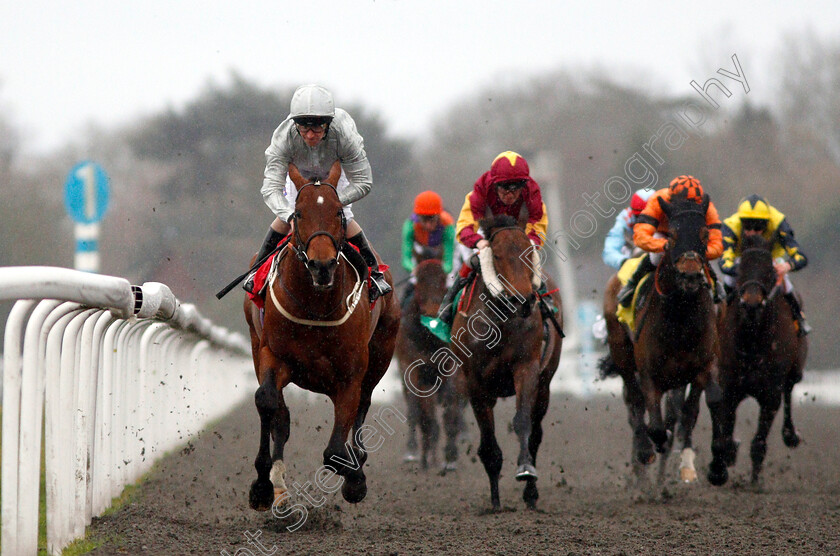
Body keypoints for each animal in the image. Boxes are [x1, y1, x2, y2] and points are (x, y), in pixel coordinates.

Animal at [243, 175, 400, 512]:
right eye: (299, 214)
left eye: (339, 213)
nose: (322, 265)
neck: (315, 305)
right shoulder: (272, 355)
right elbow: (267, 402)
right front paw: (262, 486)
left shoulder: (350, 376)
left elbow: (335, 451)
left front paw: (355, 478)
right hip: (255, 343)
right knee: (281, 416)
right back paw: (279, 489)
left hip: (382, 353)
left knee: (364, 403)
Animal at [396, 258, 462, 472]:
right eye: (420, 282)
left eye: (442, 281)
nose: (433, 312)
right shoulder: (411, 366)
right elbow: (418, 410)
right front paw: (420, 454)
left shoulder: (449, 366)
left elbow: (450, 408)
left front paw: (450, 457)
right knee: (419, 410)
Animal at [450, 216, 560, 508]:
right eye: (497, 255)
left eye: (528, 253)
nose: (522, 300)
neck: (502, 323)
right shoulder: (475, 382)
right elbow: (488, 444)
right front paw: (495, 500)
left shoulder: (527, 368)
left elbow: (522, 422)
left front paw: (525, 470)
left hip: (545, 385)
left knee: (536, 434)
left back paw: (531, 494)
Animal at [600, 194, 720, 482]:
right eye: (673, 235)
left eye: (704, 233)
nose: (691, 275)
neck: (680, 316)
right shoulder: (649, 373)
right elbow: (653, 423)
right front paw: (648, 452)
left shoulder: (701, 367)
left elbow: (691, 411)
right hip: (622, 354)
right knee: (635, 402)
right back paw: (643, 459)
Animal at [708, 232, 808, 484]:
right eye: (742, 267)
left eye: (768, 270)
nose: (752, 303)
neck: (751, 338)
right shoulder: (729, 384)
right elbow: (725, 430)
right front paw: (719, 468)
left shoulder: (771, 391)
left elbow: (759, 442)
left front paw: (754, 482)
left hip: (795, 369)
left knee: (790, 390)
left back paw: (791, 435)